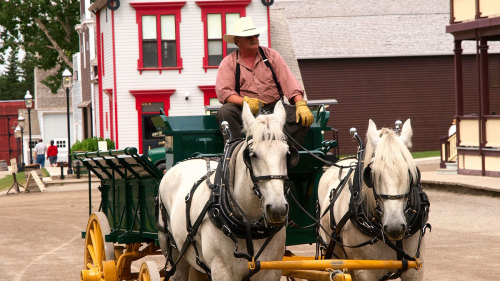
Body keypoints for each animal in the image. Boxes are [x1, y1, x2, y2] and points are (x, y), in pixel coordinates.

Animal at [156, 101, 290, 280]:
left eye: (287, 153)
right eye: (253, 154)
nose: (277, 209)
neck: (248, 223)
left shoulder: (271, 271)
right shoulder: (222, 271)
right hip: (174, 253)